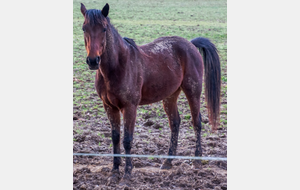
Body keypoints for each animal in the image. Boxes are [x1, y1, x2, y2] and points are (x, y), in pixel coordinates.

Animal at [79, 2, 220, 185]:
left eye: (103, 29)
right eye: (84, 28)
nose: (93, 61)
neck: (117, 66)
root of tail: (190, 44)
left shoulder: (130, 107)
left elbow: (127, 140)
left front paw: (127, 174)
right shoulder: (109, 107)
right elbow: (115, 138)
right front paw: (114, 172)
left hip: (193, 91)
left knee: (197, 122)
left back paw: (197, 161)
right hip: (170, 96)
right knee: (175, 122)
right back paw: (167, 162)